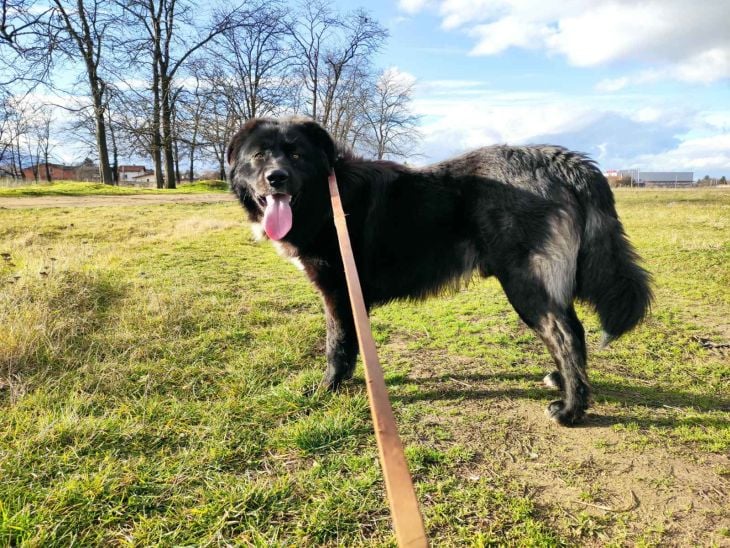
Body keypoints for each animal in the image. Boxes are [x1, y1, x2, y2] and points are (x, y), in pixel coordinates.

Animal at [226, 115, 648, 426]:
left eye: (296, 155)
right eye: (259, 155)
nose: (276, 177)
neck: (329, 197)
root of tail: (564, 162)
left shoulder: (339, 293)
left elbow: (337, 347)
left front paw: (327, 389)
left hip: (526, 283)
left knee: (564, 336)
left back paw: (572, 409)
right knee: (571, 330)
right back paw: (563, 382)